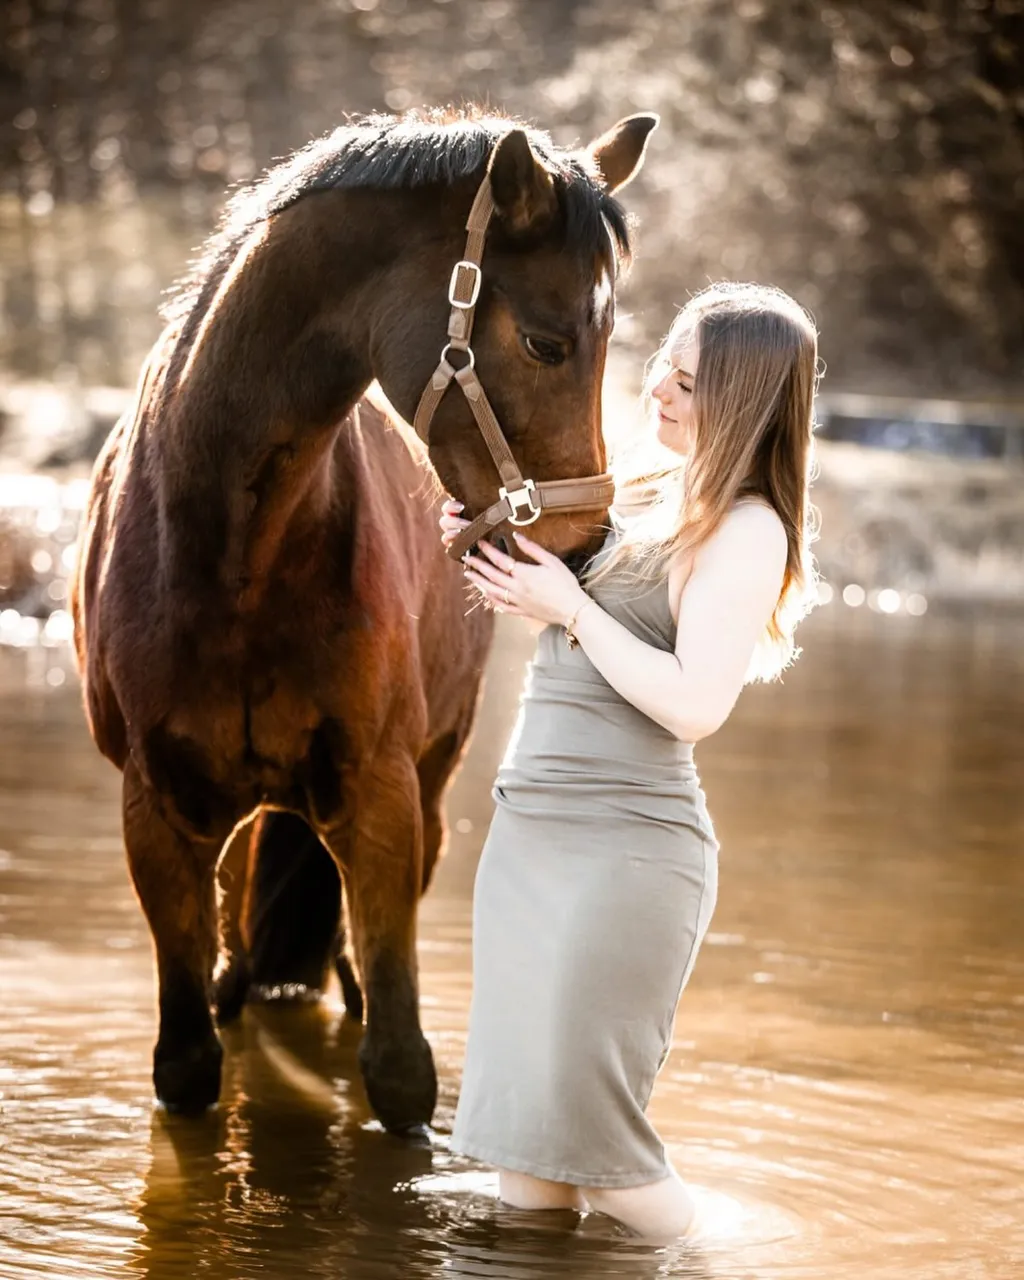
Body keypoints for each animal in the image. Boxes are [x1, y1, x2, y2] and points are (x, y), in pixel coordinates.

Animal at [70, 107, 656, 1132]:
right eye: (547, 344)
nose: (583, 545)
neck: (234, 553)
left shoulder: (382, 802)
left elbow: (399, 1070)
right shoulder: (157, 815)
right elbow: (188, 1064)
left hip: (428, 785)